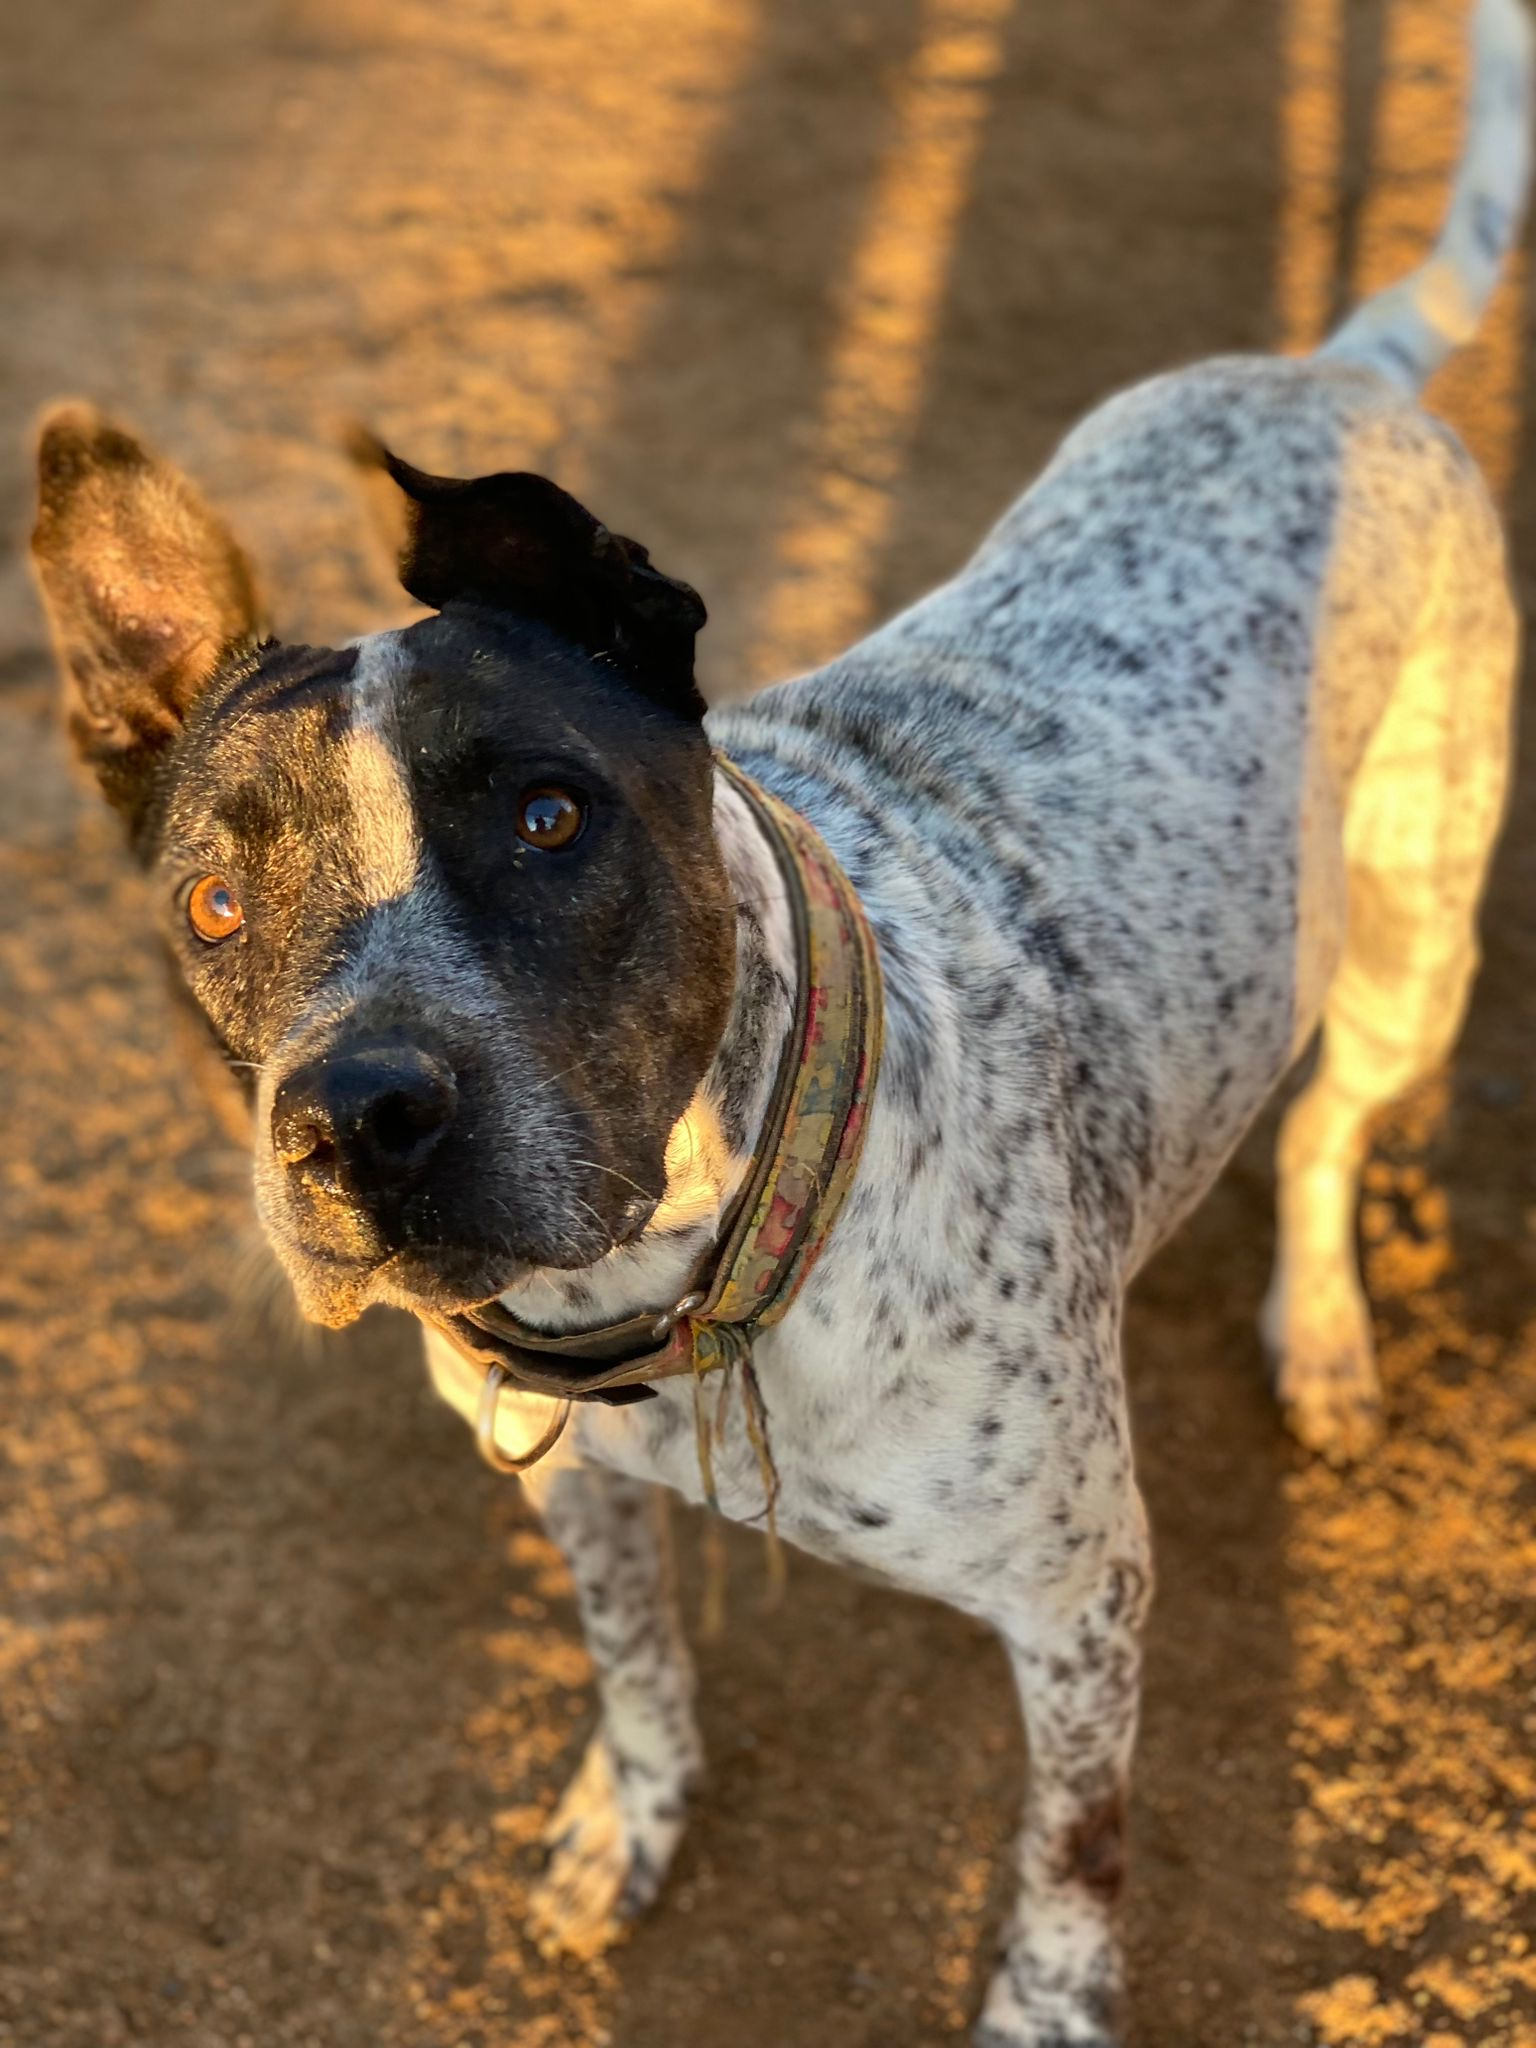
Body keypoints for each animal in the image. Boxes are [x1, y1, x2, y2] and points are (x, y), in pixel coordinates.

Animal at [28, 1, 1529, 2038]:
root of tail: (1334, 370)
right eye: (214, 904)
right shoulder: (570, 1493)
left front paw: (1051, 2001)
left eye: (547, 814)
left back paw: (1327, 1331)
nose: (354, 1122)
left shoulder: (1083, 1595)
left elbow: (1073, 1840)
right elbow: (638, 1659)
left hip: (1404, 940)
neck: (687, 1298)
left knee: (1326, 1125)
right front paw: (632, 1816)